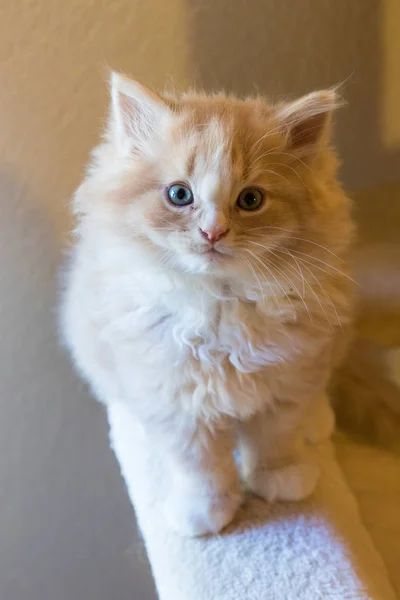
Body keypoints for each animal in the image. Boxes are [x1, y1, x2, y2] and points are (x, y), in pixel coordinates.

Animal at [61, 72, 354, 536]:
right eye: (179, 195)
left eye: (251, 200)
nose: (212, 232)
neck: (218, 302)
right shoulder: (174, 399)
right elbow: (201, 467)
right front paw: (206, 514)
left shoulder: (287, 377)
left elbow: (276, 438)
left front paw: (281, 480)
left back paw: (317, 423)